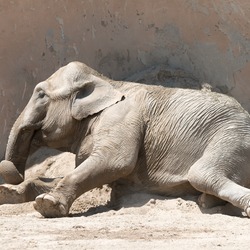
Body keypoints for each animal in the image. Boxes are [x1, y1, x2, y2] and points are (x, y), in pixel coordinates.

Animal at [0, 60, 250, 217]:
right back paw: (206, 200)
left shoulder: (121, 116)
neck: (107, 81)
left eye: (41, 94)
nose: (11, 170)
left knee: (201, 173)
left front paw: (47, 205)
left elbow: (115, 161)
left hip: (232, 135)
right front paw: (9, 193)